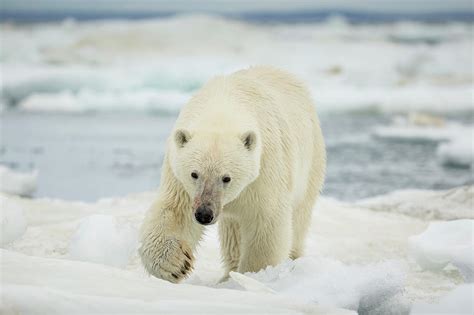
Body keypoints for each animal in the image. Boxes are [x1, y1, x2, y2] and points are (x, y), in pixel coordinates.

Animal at [139, 66, 328, 284]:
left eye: (226, 178)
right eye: (194, 174)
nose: (204, 214)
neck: (223, 108)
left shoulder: (265, 169)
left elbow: (266, 221)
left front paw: (253, 275)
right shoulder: (178, 175)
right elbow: (175, 210)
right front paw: (175, 264)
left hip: (311, 159)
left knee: (298, 218)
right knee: (233, 232)